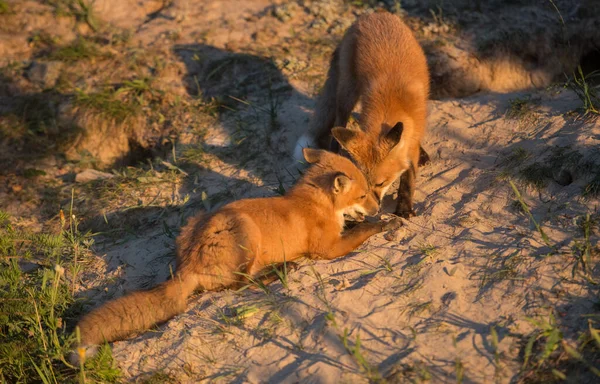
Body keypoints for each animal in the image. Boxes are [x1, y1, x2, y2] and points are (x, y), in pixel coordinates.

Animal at [71, 148, 398, 362]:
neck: (315, 203)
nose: (378, 206)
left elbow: (354, 226)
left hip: (199, 222)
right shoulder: (327, 249)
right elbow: (360, 232)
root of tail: (188, 262)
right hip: (246, 234)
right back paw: (281, 270)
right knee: (239, 284)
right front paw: (383, 223)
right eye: (363, 195)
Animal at [292, 12, 428, 218]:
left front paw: (404, 207)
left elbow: (408, 177)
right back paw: (336, 152)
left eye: (380, 183)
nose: (376, 206)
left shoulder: (414, 136)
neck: (394, 104)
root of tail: (371, 15)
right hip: (347, 92)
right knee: (338, 120)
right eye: (365, 183)